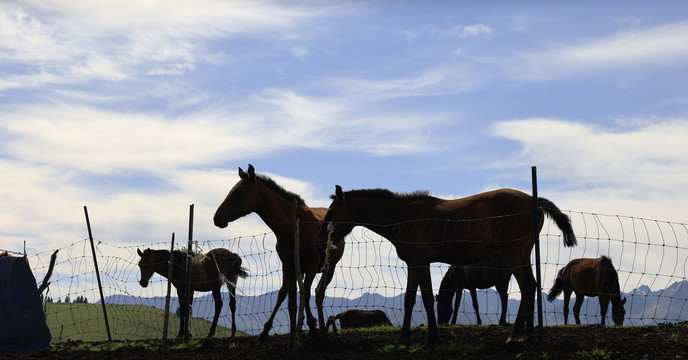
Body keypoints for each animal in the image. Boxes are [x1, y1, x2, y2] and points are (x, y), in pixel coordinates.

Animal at [214, 165, 346, 348]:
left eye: (239, 192)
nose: (217, 218)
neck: (291, 228)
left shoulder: (312, 265)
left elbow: (307, 295)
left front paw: (312, 331)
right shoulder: (288, 266)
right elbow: (291, 302)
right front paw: (292, 340)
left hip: (329, 267)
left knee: (318, 294)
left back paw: (319, 331)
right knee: (287, 294)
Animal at [318, 187, 576, 344]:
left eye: (331, 212)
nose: (321, 240)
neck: (404, 217)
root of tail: (535, 200)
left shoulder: (420, 263)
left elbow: (423, 298)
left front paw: (430, 338)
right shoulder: (416, 264)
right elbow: (412, 299)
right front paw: (407, 337)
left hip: (512, 253)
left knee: (526, 286)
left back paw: (514, 336)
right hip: (523, 253)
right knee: (530, 286)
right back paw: (529, 335)